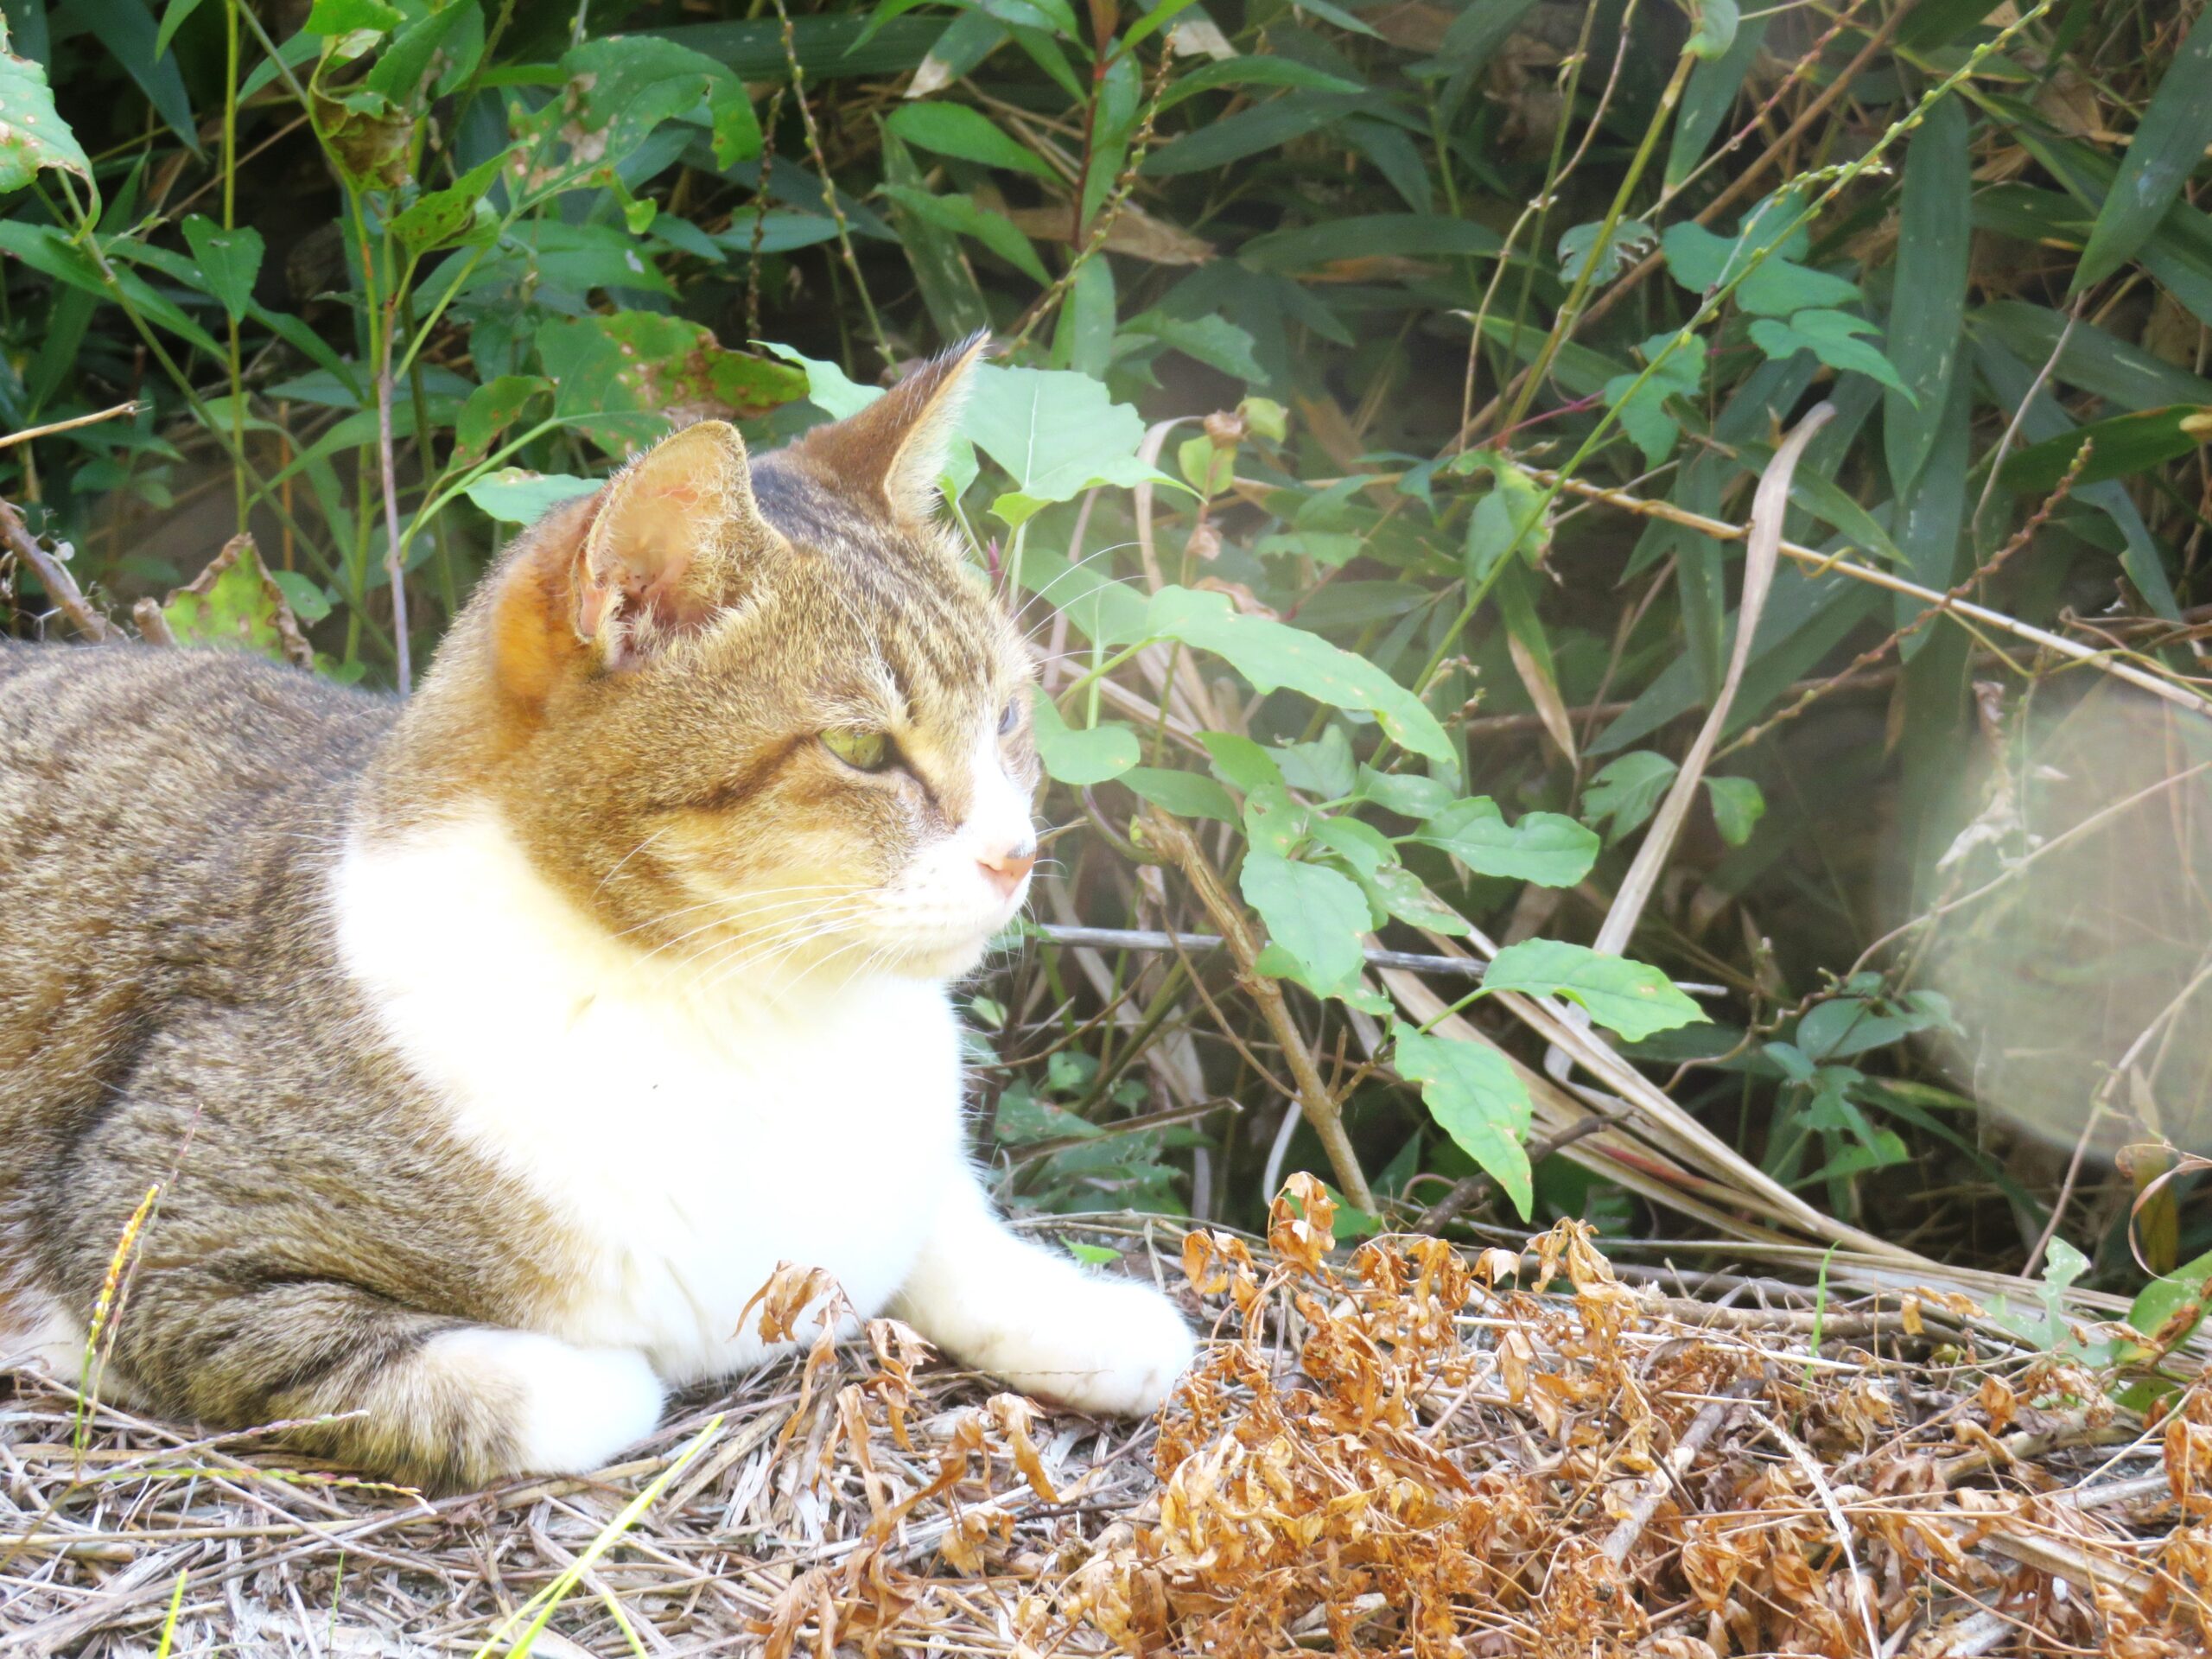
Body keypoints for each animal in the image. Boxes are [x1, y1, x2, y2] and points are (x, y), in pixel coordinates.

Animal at [0, 338, 1194, 1495]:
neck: (761, 1016)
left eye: (1007, 718)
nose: (1017, 854)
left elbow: (943, 1223)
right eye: (862, 750)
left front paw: (1090, 1312)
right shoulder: (158, 1242)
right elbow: (565, 1389)